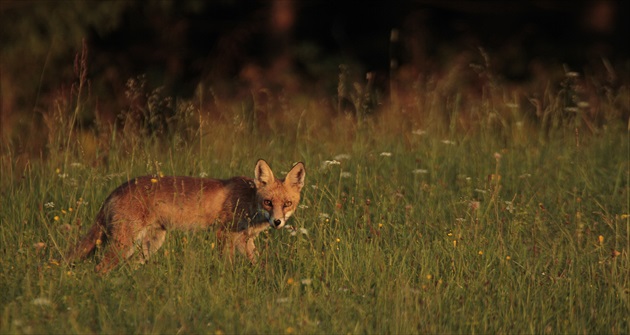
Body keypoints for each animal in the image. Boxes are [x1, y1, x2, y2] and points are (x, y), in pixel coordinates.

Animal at [66, 159, 306, 272]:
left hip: (150, 245)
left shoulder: (244, 240)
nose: (277, 222)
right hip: (125, 243)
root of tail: (117, 189)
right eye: (268, 202)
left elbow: (260, 264)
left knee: (129, 266)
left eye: (287, 204)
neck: (248, 199)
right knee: (100, 268)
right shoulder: (223, 234)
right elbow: (227, 265)